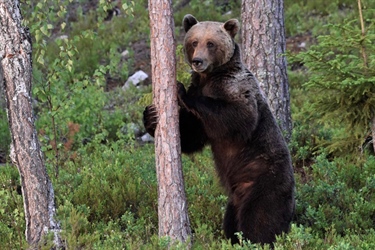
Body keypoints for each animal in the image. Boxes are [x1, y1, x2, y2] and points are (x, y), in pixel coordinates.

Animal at [142, 14, 296, 245]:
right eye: (194, 42)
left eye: (211, 43)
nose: (198, 61)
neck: (211, 77)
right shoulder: (201, 121)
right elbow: (191, 136)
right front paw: (151, 116)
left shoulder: (236, 89)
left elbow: (237, 117)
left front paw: (181, 90)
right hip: (234, 199)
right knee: (231, 222)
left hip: (265, 180)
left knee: (260, 219)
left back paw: (256, 240)